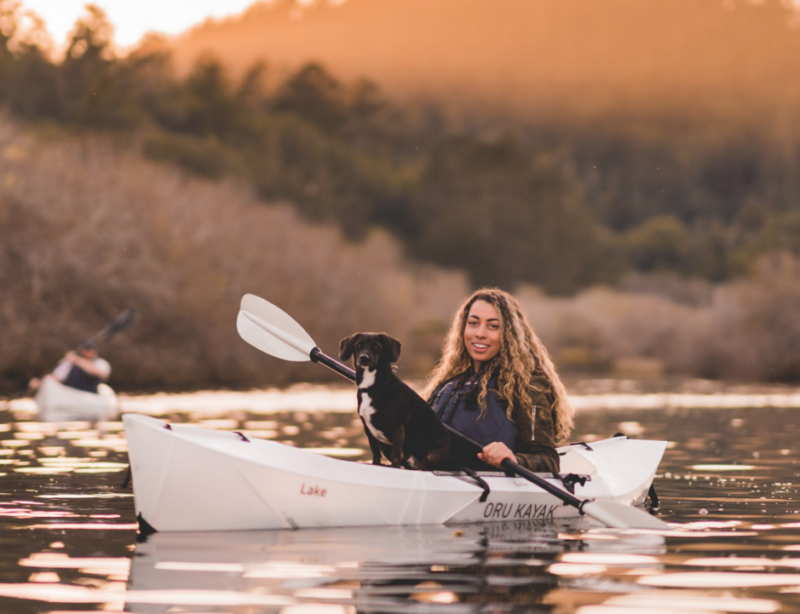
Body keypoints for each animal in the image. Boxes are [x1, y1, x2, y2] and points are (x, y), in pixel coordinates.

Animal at [338, 334, 450, 470]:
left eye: (376, 346)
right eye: (358, 345)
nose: (364, 357)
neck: (372, 386)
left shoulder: (397, 428)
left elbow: (395, 456)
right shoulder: (368, 429)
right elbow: (376, 453)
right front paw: (376, 464)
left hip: (430, 455)